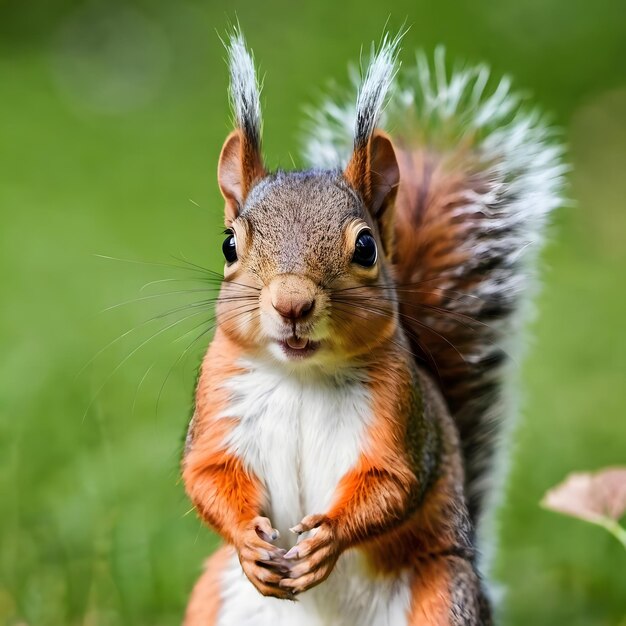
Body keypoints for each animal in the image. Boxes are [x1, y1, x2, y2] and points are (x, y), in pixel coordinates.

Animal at [178, 30, 564, 624]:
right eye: (228, 245)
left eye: (365, 247)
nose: (292, 304)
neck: (302, 377)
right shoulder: (219, 398)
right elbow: (206, 473)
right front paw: (247, 538)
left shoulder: (401, 416)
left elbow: (393, 484)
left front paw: (327, 540)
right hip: (213, 597)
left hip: (442, 593)